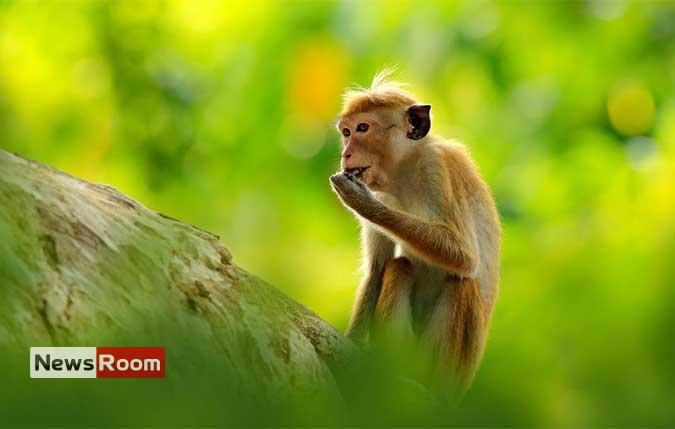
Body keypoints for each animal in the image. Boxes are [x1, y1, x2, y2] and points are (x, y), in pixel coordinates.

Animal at [329, 70, 501, 391]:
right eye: (346, 132)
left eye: (362, 128)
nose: (346, 154)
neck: (403, 174)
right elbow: (378, 269)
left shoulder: (438, 168)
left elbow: (464, 256)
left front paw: (363, 203)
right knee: (399, 267)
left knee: (461, 283)